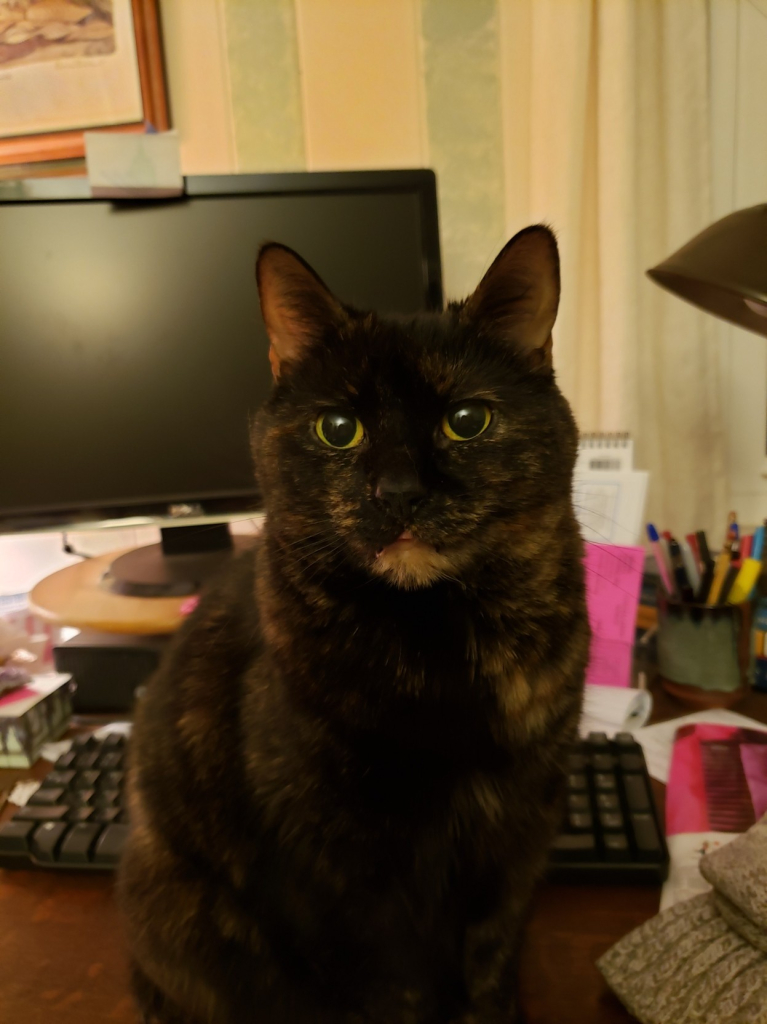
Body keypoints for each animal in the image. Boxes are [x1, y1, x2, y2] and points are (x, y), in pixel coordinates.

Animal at [118, 228, 585, 1024]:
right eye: (338, 428)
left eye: (467, 420)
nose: (397, 493)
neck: (439, 645)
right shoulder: (335, 874)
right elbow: (392, 990)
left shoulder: (521, 831)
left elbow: (490, 968)